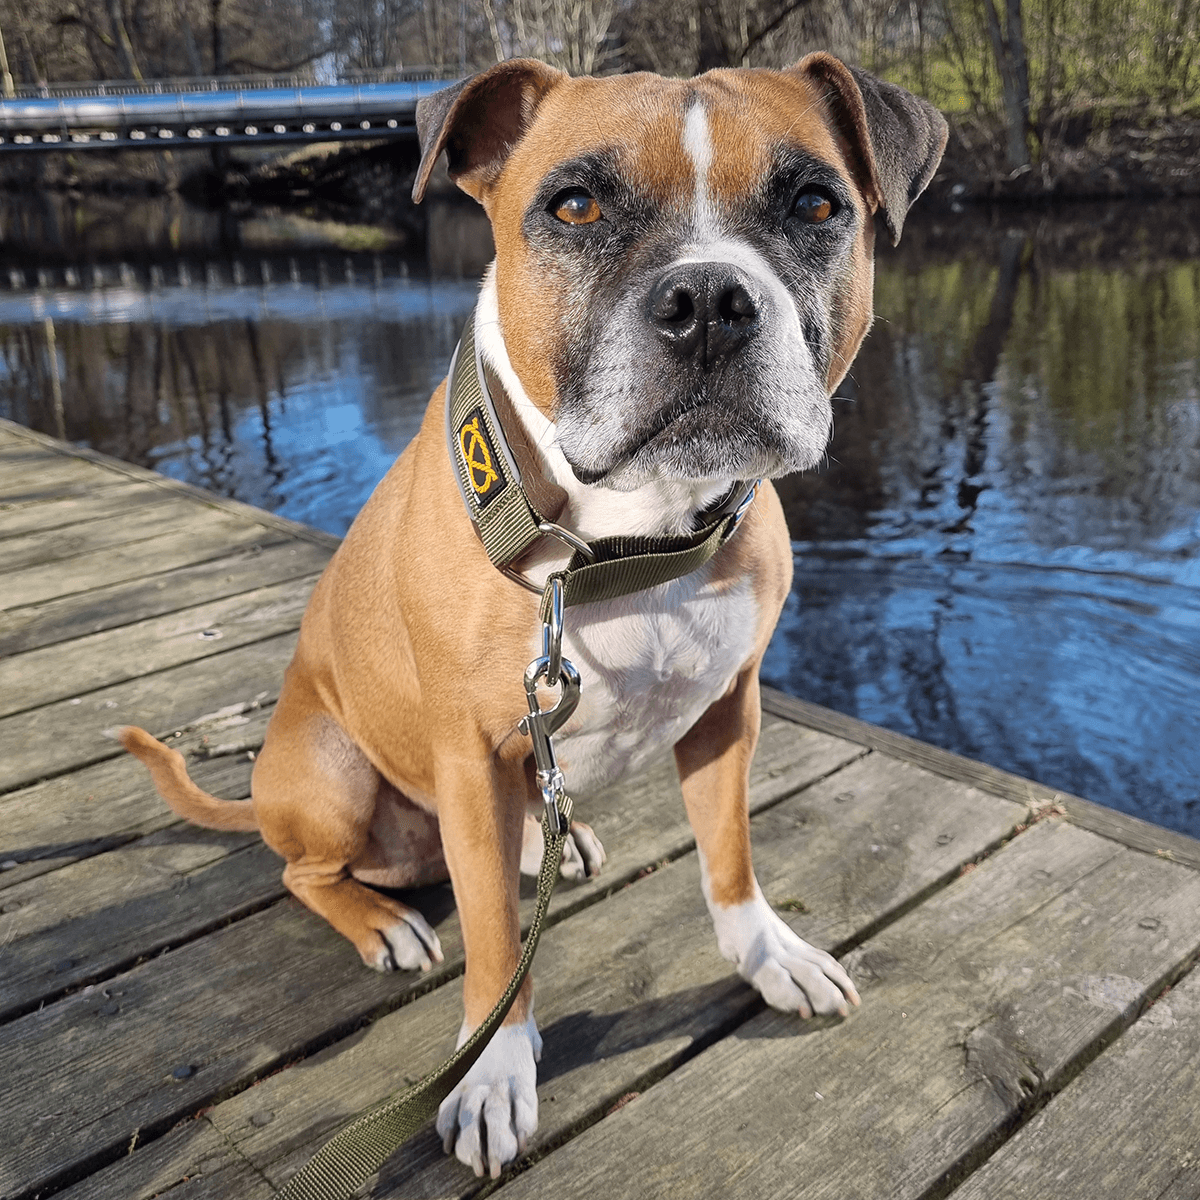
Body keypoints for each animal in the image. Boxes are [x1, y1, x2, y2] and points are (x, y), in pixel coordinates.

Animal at [121, 56, 945, 1180]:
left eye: (816, 206)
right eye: (576, 206)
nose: (708, 300)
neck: (627, 541)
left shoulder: (728, 713)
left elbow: (729, 857)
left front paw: (770, 954)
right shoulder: (472, 756)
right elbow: (497, 944)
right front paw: (493, 1071)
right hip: (334, 773)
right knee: (307, 870)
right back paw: (382, 923)